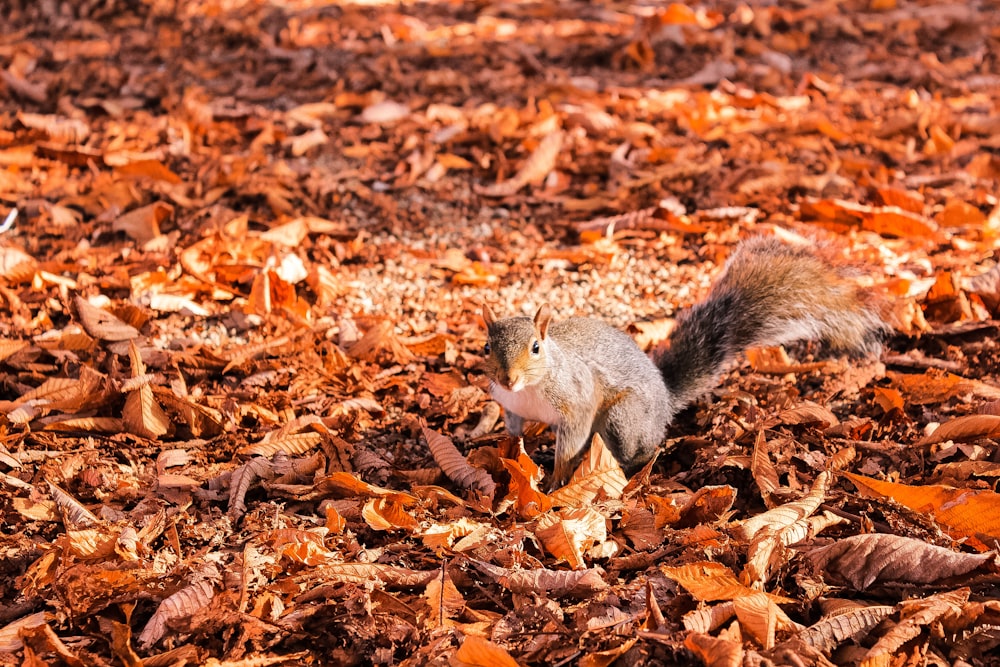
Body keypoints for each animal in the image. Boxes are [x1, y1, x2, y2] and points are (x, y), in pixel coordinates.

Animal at [480, 237, 888, 488]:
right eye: (486, 347)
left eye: (536, 347)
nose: (509, 378)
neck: (532, 388)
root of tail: (665, 402)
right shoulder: (511, 407)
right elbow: (514, 434)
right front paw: (506, 453)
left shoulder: (576, 401)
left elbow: (571, 444)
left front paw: (555, 480)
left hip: (623, 419)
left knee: (638, 450)